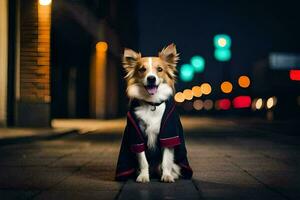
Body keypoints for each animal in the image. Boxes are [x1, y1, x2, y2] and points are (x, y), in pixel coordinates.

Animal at [115, 43, 192, 183]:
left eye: (160, 69)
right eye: (142, 69)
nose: (151, 78)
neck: (152, 104)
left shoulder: (168, 133)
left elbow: (166, 160)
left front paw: (167, 176)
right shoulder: (136, 136)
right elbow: (143, 160)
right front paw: (144, 176)